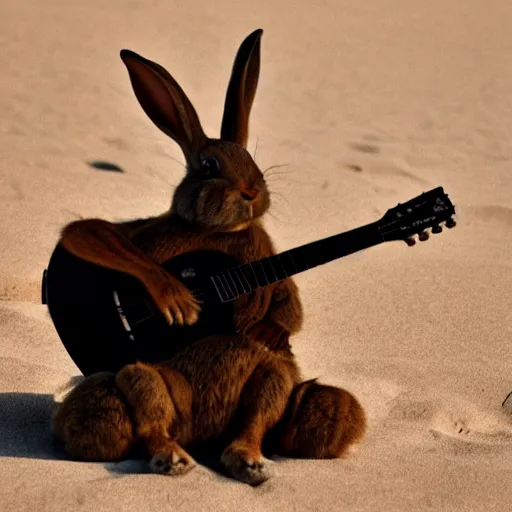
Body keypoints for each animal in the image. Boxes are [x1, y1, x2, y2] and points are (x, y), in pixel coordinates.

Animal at [51, 30, 364, 486]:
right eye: (209, 165)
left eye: (253, 162)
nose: (251, 192)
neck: (220, 233)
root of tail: (204, 437)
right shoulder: (140, 235)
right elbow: (84, 231)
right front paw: (177, 299)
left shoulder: (270, 260)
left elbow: (288, 305)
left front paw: (271, 329)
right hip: (140, 382)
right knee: (143, 407)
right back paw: (173, 459)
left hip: (283, 386)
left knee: (268, 407)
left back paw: (247, 461)